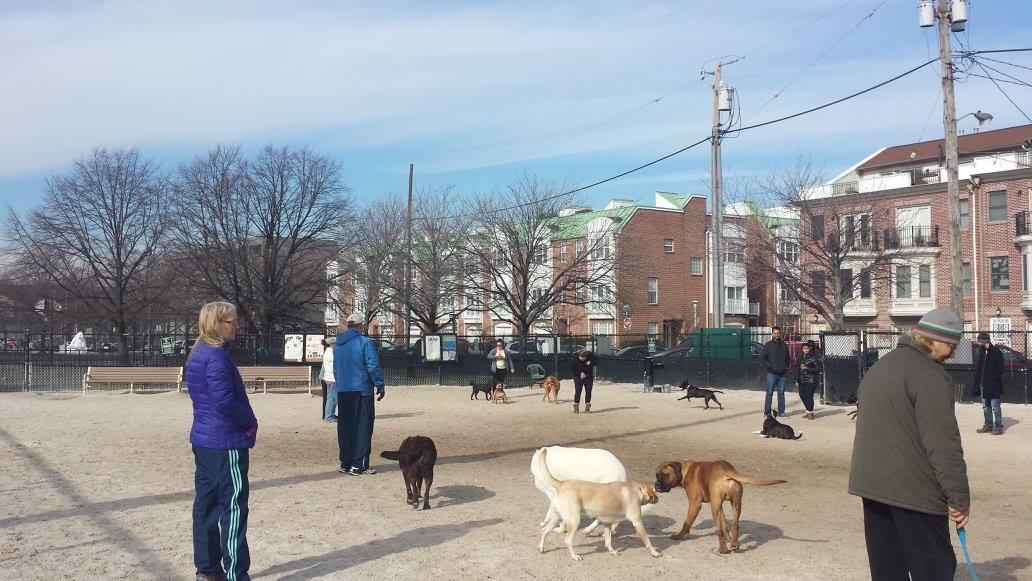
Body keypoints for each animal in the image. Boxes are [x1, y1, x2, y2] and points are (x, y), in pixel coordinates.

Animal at [656, 460, 784, 553]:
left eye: (665, 475)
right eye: (657, 476)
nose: (656, 484)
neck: (685, 471)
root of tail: (727, 470)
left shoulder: (695, 504)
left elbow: (687, 522)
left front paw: (678, 536)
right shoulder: (719, 505)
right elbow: (724, 522)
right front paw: (728, 538)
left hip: (714, 508)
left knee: (719, 531)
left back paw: (723, 549)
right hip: (735, 504)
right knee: (735, 525)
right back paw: (734, 544)